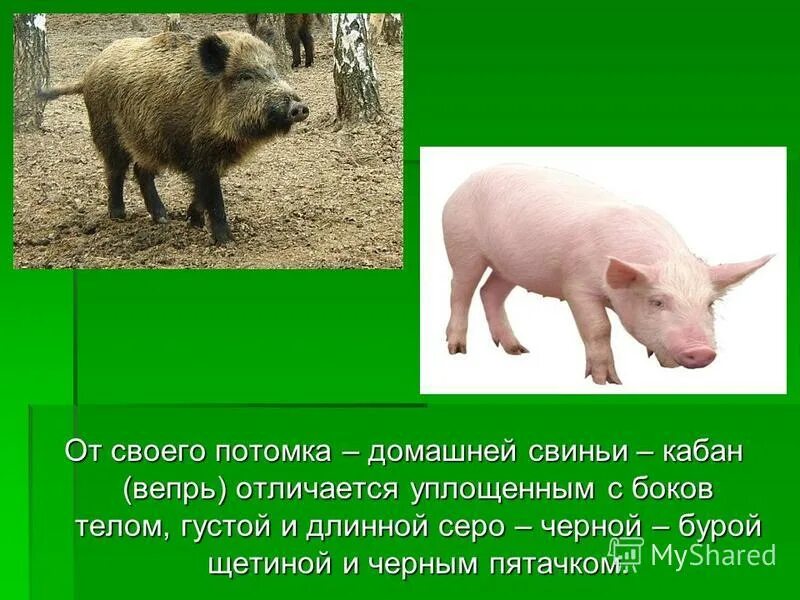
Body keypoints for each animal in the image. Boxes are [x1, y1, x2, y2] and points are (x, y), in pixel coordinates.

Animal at [38, 30, 309, 245]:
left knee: (140, 171)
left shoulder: (208, 158)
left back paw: (163, 218)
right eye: (245, 76)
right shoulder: (202, 155)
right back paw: (119, 216)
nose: (299, 107)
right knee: (115, 171)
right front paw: (226, 242)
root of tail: (87, 75)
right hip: (108, 134)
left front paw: (194, 222)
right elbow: (213, 196)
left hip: (149, 142)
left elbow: (201, 192)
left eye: (274, 71)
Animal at [442, 165, 773, 384]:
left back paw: (517, 350)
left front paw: (665, 365)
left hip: (509, 266)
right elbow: (599, 327)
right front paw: (607, 381)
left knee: (490, 292)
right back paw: (457, 349)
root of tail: (465, 183)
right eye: (657, 302)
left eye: (709, 305)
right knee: (460, 290)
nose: (702, 352)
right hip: (462, 246)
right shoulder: (576, 286)